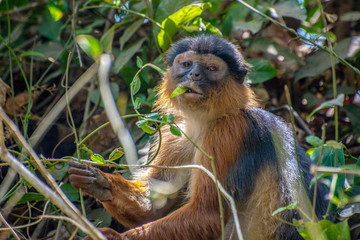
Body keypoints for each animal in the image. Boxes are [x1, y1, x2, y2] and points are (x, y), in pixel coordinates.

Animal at [67, 34, 330, 239]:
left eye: (211, 68)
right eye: (187, 64)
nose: (193, 74)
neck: (205, 122)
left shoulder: (228, 133)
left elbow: (209, 215)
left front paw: (116, 238)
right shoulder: (177, 135)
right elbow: (154, 206)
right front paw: (98, 181)